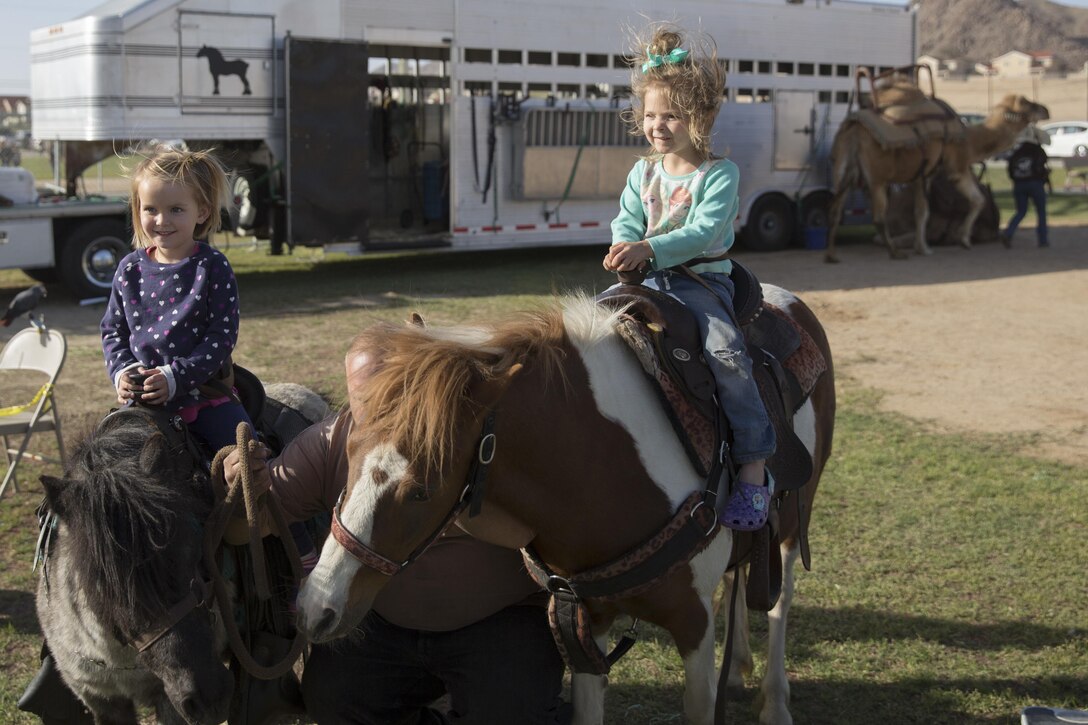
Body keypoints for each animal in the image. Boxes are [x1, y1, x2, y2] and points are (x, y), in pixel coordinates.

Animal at [293, 289, 835, 722]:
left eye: (423, 489)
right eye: (347, 453)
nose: (316, 608)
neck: (607, 465)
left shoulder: (693, 624)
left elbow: (700, 702)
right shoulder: (583, 623)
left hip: (794, 520)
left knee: (779, 600)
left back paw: (775, 701)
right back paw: (740, 666)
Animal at [826, 91, 1048, 262]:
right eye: (1026, 103)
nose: (1045, 109)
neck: (968, 141)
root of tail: (855, 130)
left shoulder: (923, 175)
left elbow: (975, 200)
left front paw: (962, 240)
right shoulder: (951, 169)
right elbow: (925, 211)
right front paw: (926, 248)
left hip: (841, 166)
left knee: (835, 209)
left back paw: (832, 256)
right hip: (877, 176)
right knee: (878, 217)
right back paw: (895, 253)